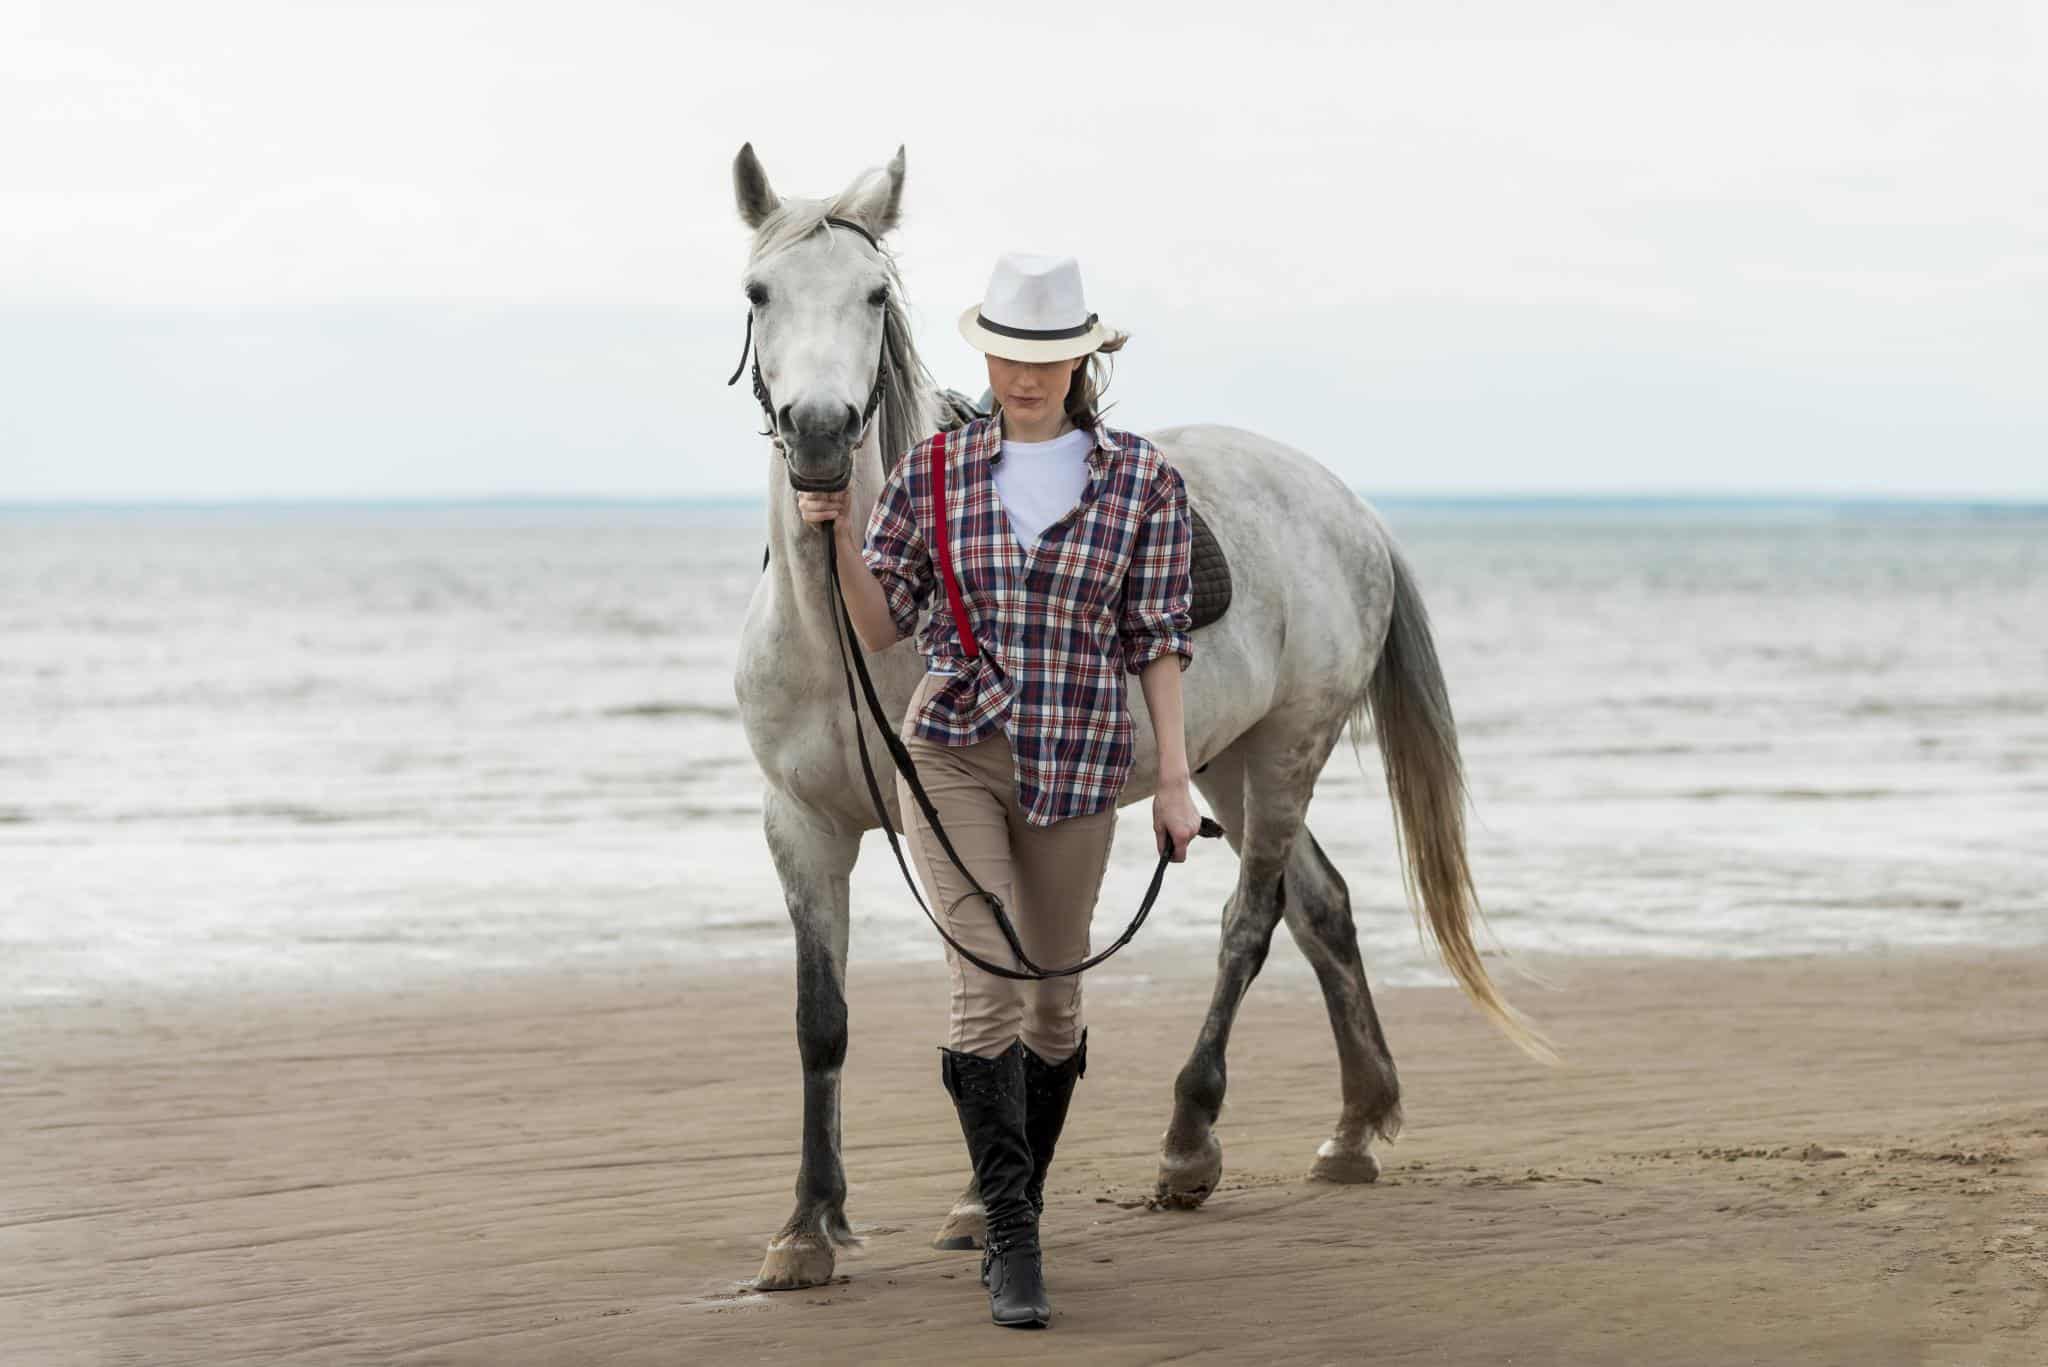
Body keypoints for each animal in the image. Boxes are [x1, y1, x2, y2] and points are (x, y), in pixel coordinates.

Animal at [729, 144, 1540, 1287]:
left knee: (1251, 921)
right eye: (759, 292)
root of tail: (1344, 504)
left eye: (874, 296)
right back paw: (1351, 1129)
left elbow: (999, 984)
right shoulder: (798, 824)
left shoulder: (951, 824)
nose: (817, 433)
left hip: (1284, 755)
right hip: (1226, 764)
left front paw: (972, 1204)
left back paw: (1189, 1141)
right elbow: (821, 1020)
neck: (845, 629)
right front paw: (809, 1226)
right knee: (1324, 904)